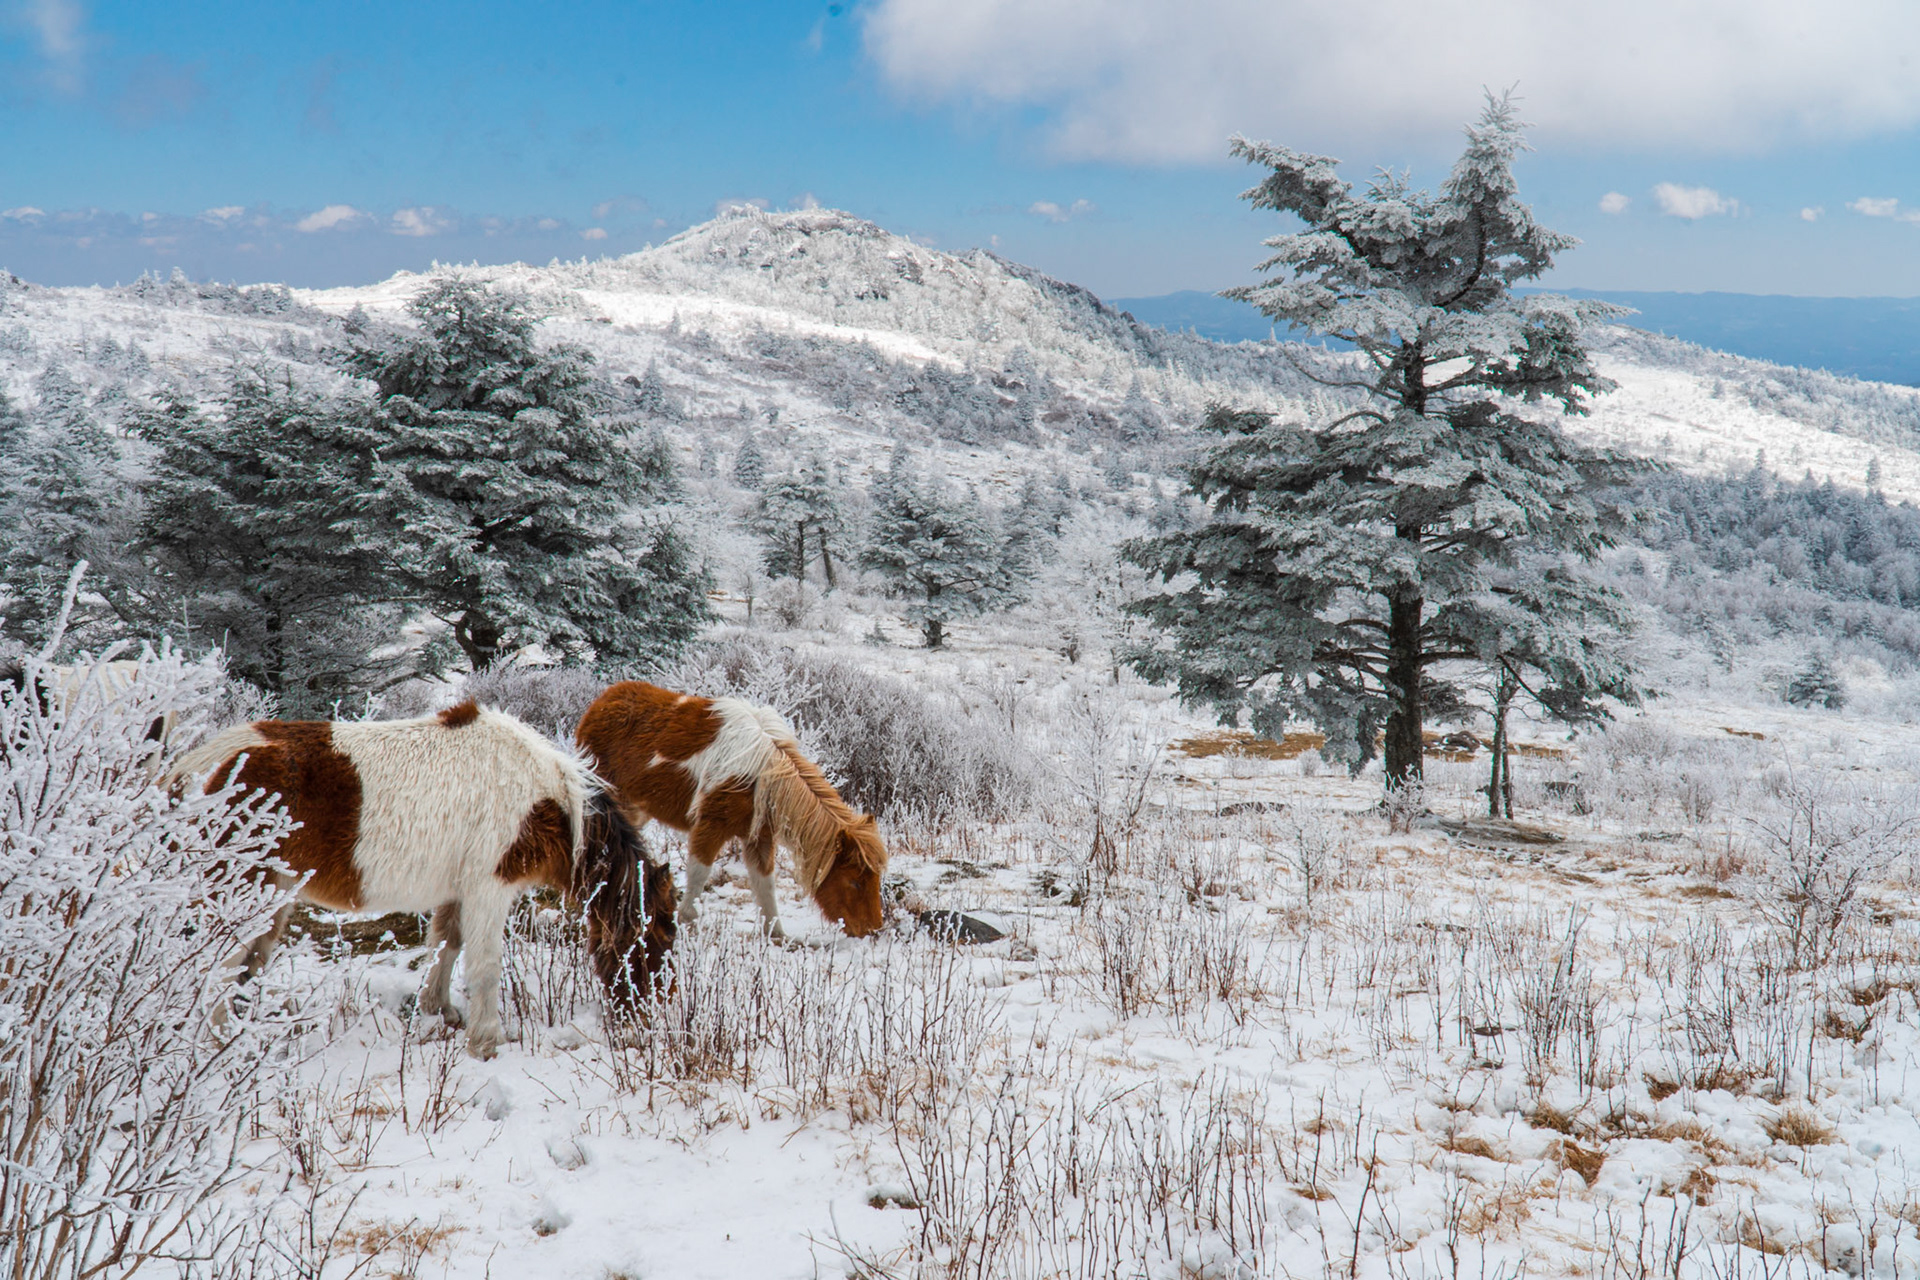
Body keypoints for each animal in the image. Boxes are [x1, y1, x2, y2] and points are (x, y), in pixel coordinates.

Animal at [168, 701, 677, 1058]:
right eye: (658, 939)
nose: (647, 1020)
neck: (546, 799)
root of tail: (201, 765)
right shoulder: (489, 888)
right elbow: (485, 966)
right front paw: (486, 1042)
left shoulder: (459, 890)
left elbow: (446, 944)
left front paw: (440, 1010)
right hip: (238, 891)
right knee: (219, 968)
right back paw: (221, 1045)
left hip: (271, 893)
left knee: (245, 964)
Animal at [576, 681, 889, 940]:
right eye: (854, 882)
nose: (872, 929)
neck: (763, 777)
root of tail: (602, 703)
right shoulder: (710, 827)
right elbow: (699, 874)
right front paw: (685, 923)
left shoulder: (758, 838)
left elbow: (765, 886)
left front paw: (776, 934)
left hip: (635, 809)